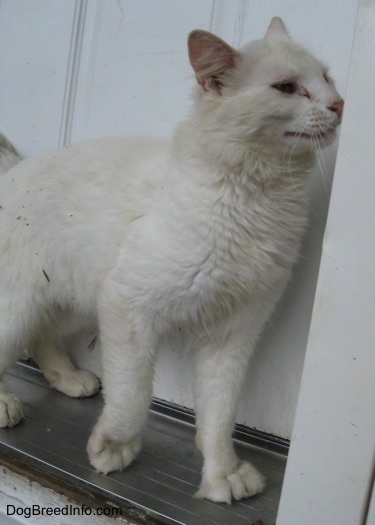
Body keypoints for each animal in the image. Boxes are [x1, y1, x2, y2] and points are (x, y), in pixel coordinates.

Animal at [0, 18, 344, 504]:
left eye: (327, 78)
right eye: (286, 87)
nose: (339, 104)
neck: (257, 196)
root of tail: (12, 171)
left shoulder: (232, 333)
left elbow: (219, 414)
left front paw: (222, 475)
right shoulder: (129, 308)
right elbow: (132, 394)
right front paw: (114, 447)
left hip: (73, 303)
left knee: (42, 338)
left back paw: (69, 379)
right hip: (22, 307)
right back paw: (5, 404)